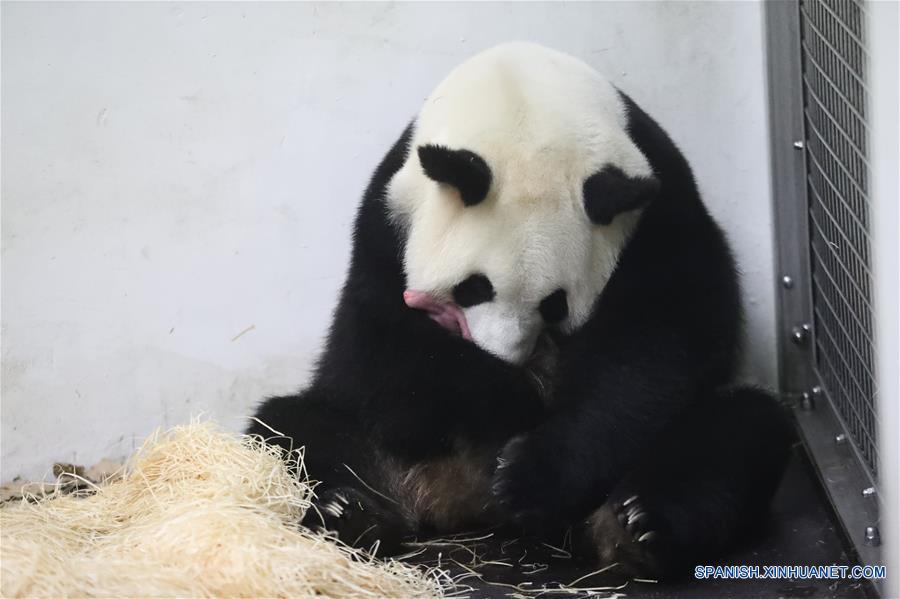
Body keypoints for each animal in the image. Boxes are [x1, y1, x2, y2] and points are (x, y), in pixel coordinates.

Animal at [248, 42, 793, 578]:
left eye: (555, 305)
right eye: (472, 289)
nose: (508, 358)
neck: (521, 92)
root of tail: (462, 503)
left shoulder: (658, 208)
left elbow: (659, 343)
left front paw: (529, 471)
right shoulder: (387, 222)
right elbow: (380, 353)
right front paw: (511, 402)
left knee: (736, 429)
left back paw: (636, 527)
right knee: (295, 428)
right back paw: (353, 512)